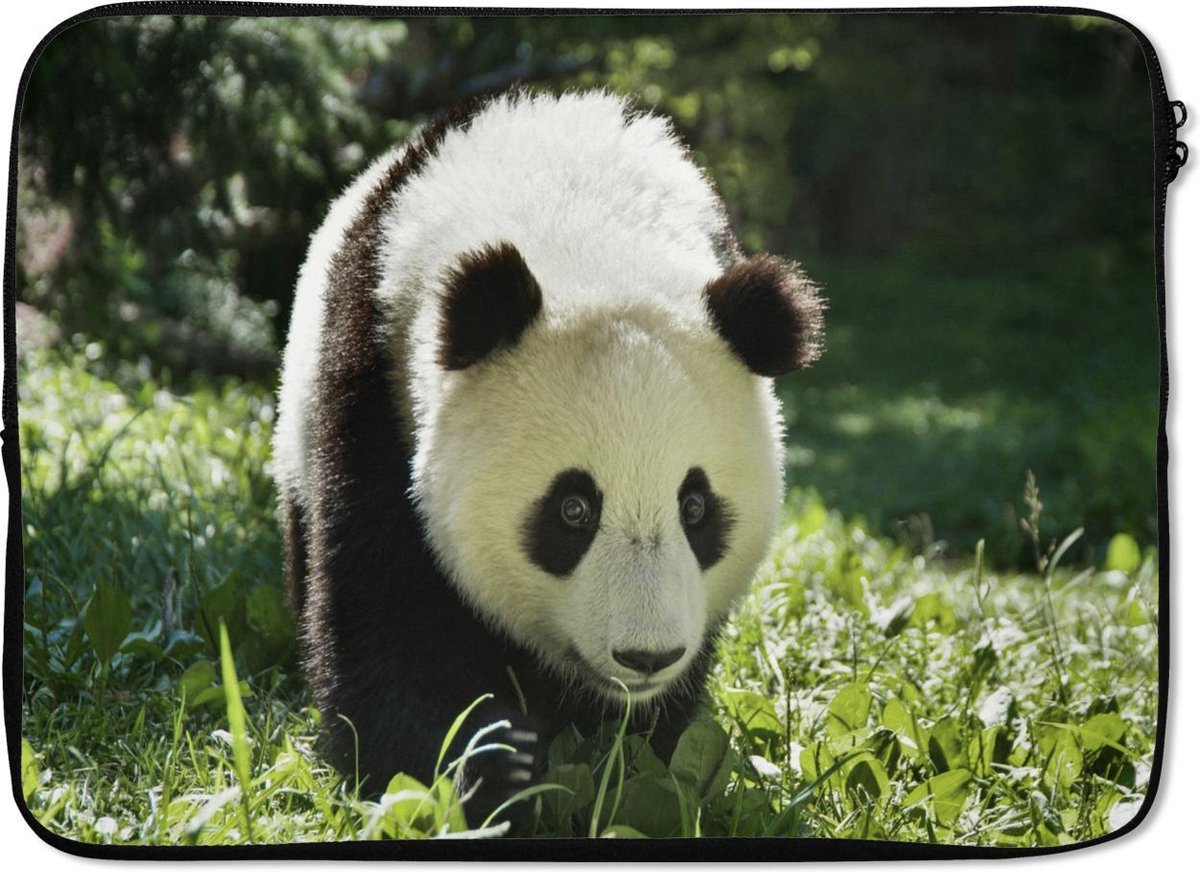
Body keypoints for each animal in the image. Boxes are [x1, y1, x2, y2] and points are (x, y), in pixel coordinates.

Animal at [271, 89, 823, 827]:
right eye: (572, 509)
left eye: (696, 507)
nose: (645, 656)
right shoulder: (374, 391)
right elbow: (389, 621)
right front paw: (484, 769)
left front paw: (627, 765)